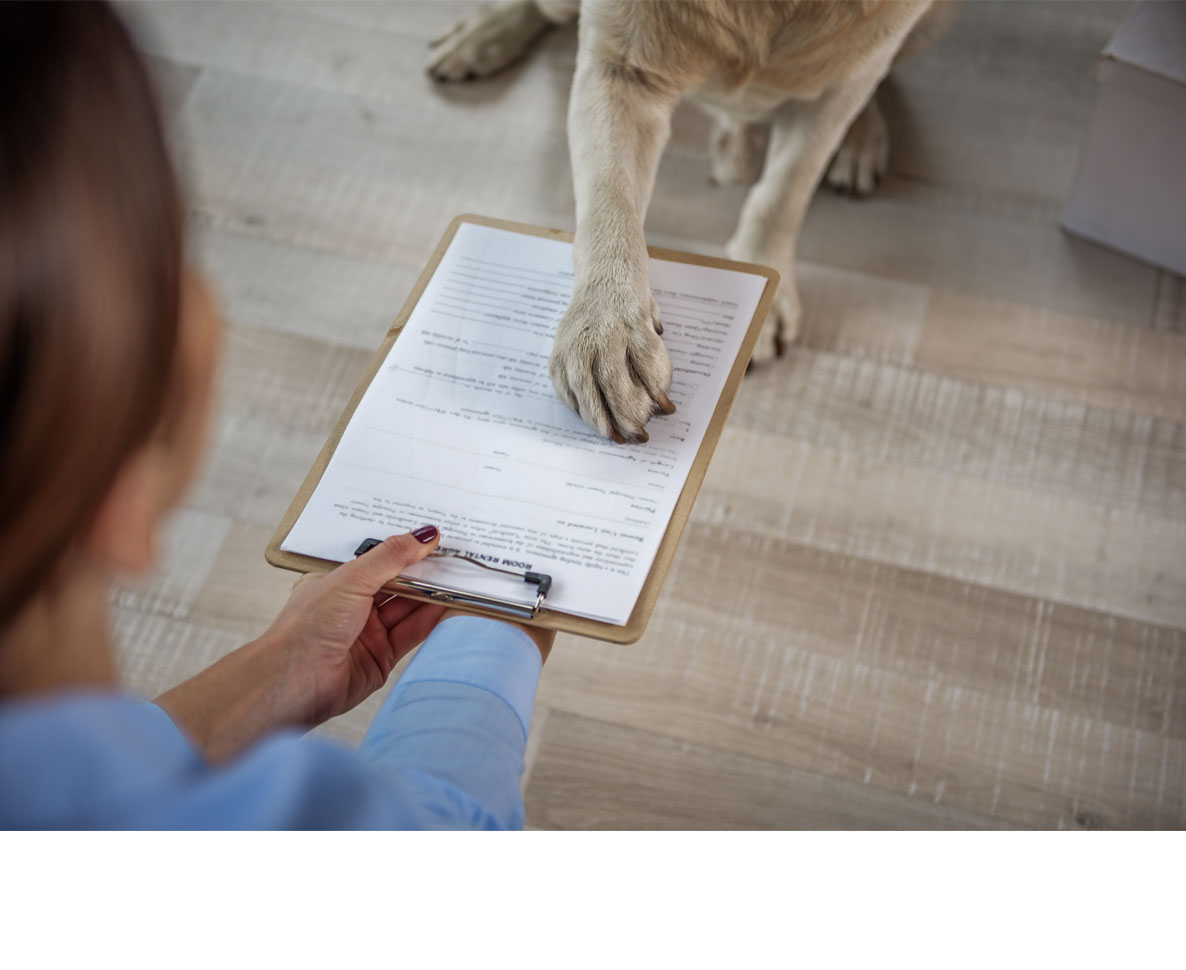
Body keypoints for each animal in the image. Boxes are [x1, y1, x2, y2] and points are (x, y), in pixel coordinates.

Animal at [426, 1, 953, 441]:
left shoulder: (837, 90)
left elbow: (781, 194)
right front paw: (605, 326)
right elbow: (608, 207)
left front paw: (766, 292)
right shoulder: (620, 68)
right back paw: (483, 32)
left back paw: (861, 134)